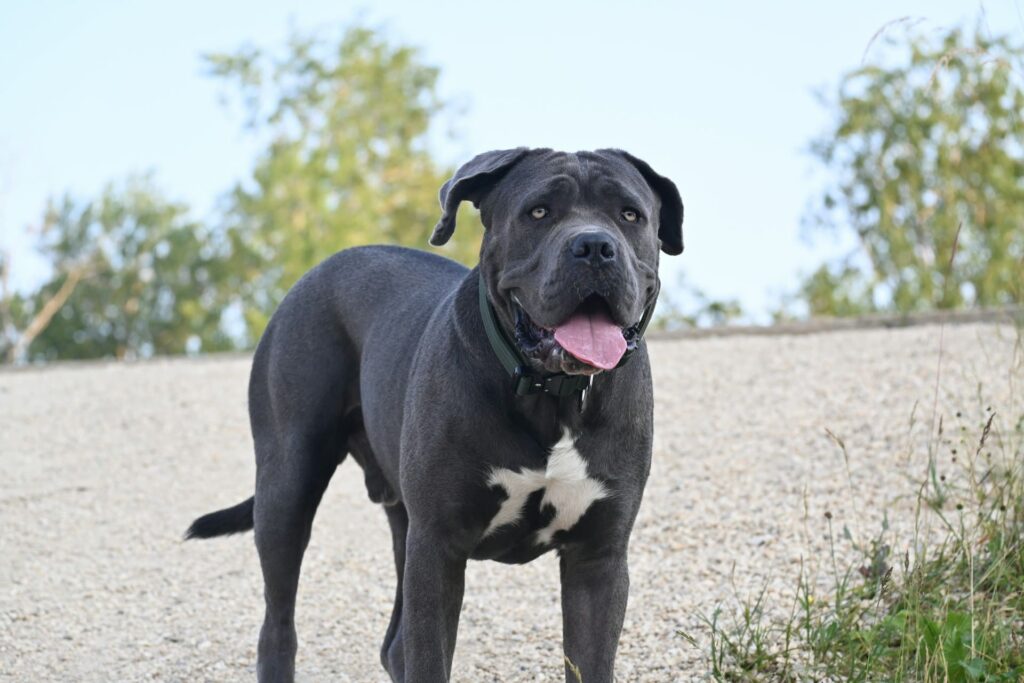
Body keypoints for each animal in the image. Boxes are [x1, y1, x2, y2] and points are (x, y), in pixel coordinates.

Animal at [188, 147, 684, 679]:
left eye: (629, 215)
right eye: (538, 212)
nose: (594, 246)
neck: (550, 395)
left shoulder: (598, 559)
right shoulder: (438, 548)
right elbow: (429, 658)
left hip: (400, 521)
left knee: (393, 644)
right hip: (287, 484)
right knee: (278, 625)